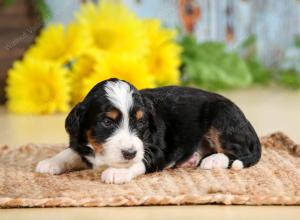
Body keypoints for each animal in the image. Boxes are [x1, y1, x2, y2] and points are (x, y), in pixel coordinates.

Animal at [36, 78, 262, 184]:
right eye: (107, 122)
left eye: (140, 122)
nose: (129, 152)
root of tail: (245, 120)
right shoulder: (81, 141)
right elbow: (71, 151)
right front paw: (50, 162)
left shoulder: (155, 149)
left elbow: (140, 160)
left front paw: (118, 172)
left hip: (222, 118)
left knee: (238, 152)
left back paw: (213, 160)